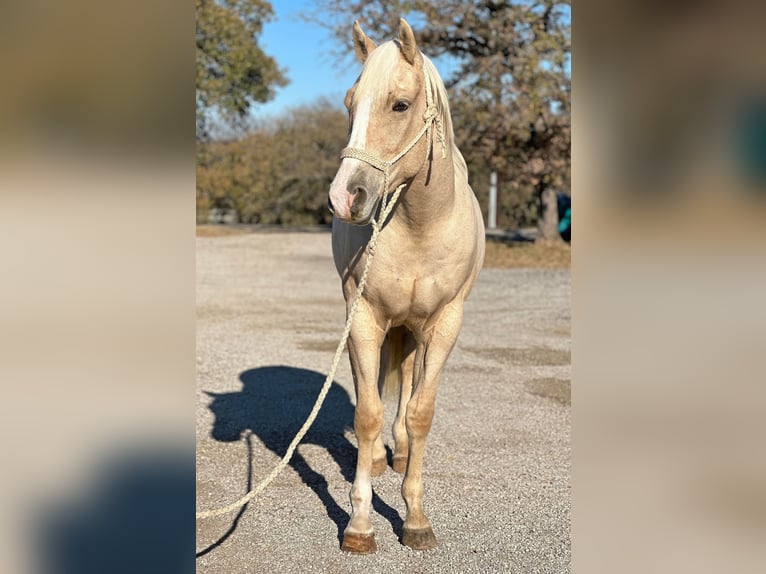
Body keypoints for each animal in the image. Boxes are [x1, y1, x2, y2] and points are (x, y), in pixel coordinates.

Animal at [330, 20, 486, 556]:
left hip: (415, 330)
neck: (421, 224)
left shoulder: (444, 324)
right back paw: (380, 458)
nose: (344, 197)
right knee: (374, 385)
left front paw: (415, 518)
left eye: (399, 104)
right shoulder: (364, 318)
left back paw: (397, 456)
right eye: (350, 103)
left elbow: (420, 413)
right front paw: (359, 524)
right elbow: (367, 412)